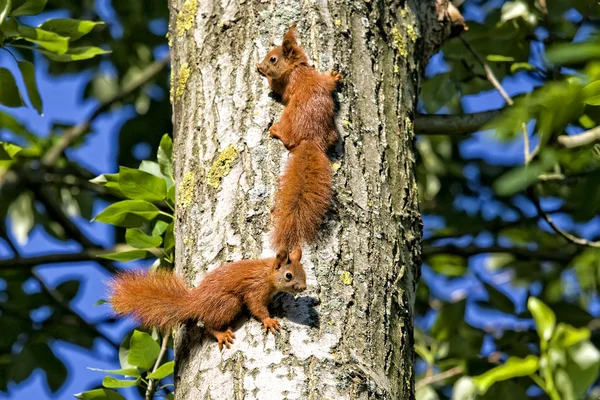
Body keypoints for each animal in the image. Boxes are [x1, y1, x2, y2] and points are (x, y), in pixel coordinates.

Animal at [108, 250, 308, 350]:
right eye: (289, 276)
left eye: (304, 272)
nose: (304, 288)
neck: (267, 273)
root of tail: (196, 303)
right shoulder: (255, 289)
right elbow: (256, 307)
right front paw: (268, 320)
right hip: (228, 303)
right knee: (208, 325)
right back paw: (221, 334)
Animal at [256, 25, 342, 255]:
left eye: (273, 59)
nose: (260, 66)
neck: (298, 69)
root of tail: (310, 139)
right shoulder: (318, 78)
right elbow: (328, 82)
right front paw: (335, 76)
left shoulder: (287, 83)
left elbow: (277, 89)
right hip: (331, 133)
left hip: (288, 120)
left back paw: (275, 131)